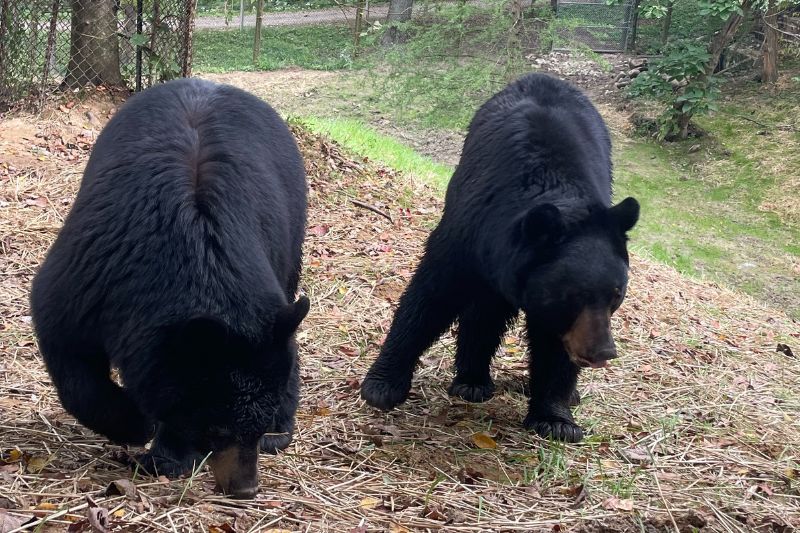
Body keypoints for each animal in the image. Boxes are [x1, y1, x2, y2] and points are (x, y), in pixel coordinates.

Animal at [29, 78, 309, 498]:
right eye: (217, 429)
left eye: (255, 430)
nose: (246, 489)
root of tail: (209, 82)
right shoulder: (92, 273)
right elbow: (66, 345)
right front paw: (136, 424)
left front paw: (169, 452)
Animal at [361, 73, 639, 443]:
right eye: (574, 295)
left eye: (616, 296)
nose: (603, 352)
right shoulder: (469, 230)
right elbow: (431, 298)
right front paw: (381, 386)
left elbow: (554, 345)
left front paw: (556, 419)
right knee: (483, 312)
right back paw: (472, 381)